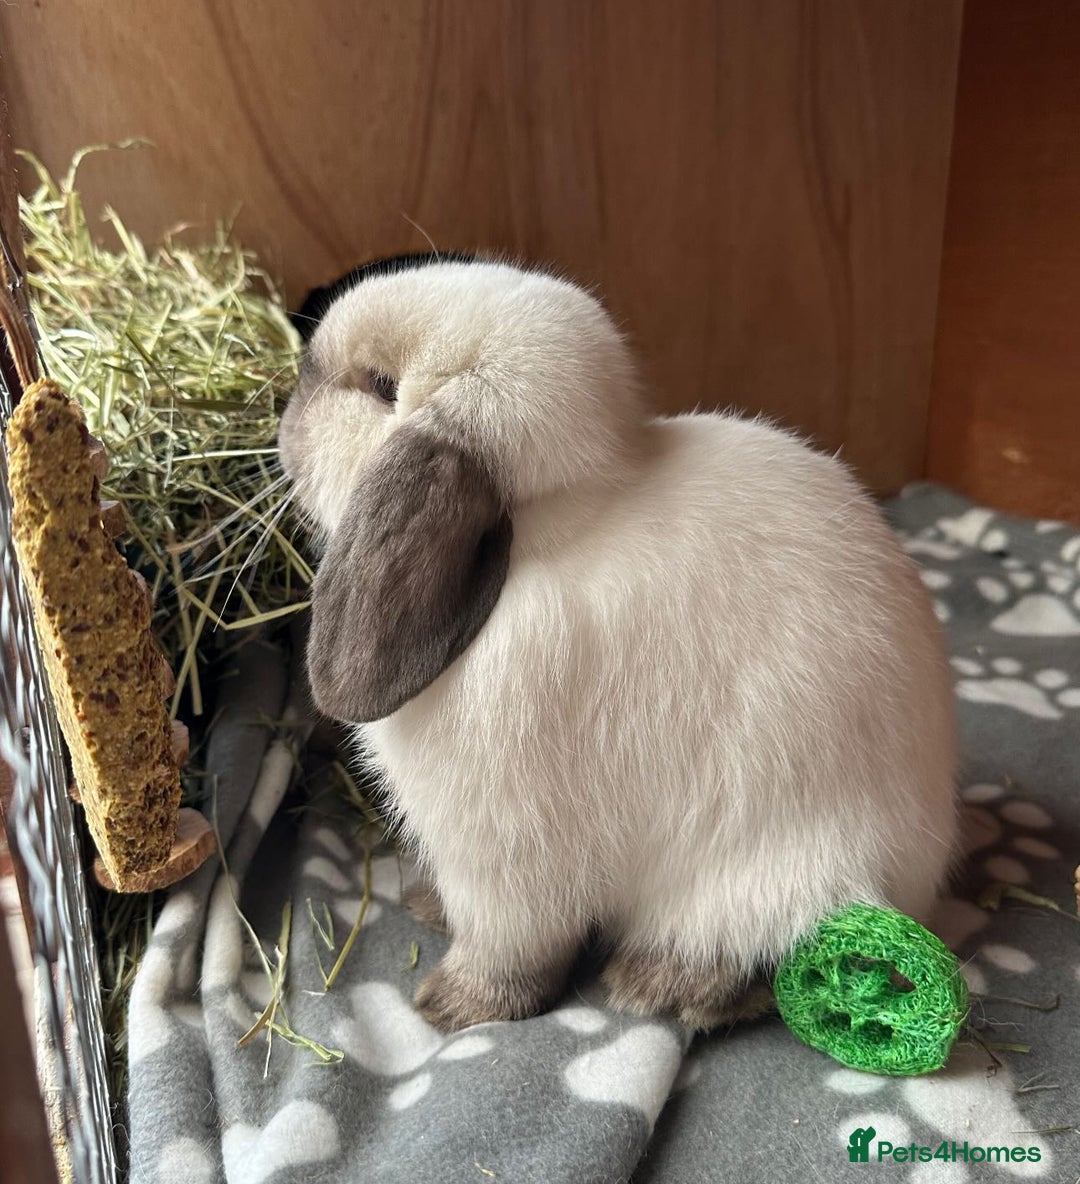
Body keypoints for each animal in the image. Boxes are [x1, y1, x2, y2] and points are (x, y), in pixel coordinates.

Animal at [277, 253, 959, 1033]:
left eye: (381, 387)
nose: (293, 398)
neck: (549, 531)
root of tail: (914, 871)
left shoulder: (505, 859)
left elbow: (512, 951)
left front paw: (452, 1008)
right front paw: (429, 911)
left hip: (762, 877)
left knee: (766, 960)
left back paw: (654, 984)